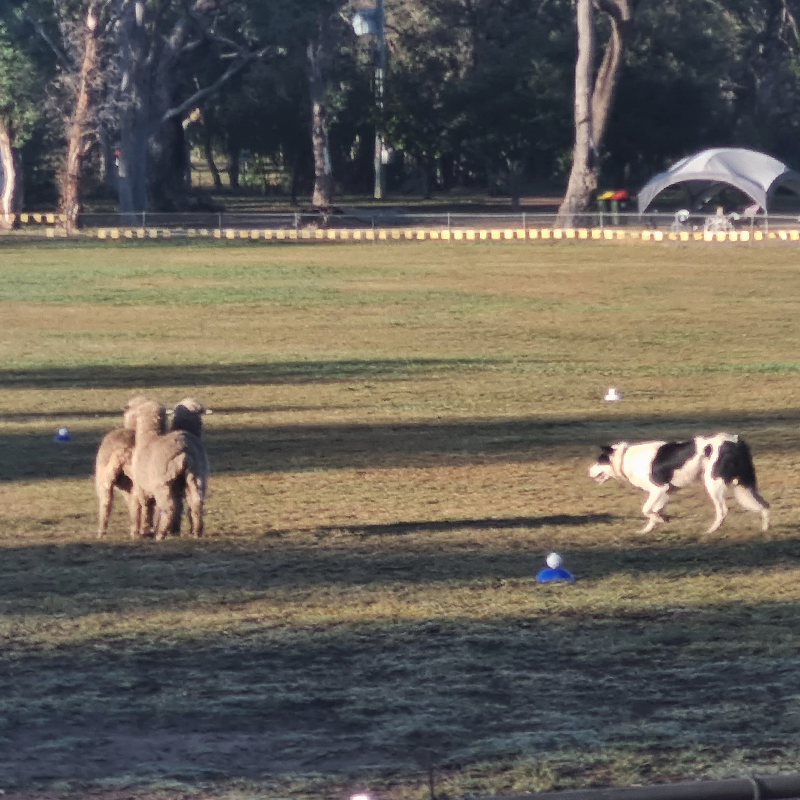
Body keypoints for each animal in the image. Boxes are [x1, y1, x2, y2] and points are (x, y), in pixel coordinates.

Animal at [130, 398, 209, 540]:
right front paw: (174, 530)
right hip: (197, 477)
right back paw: (196, 531)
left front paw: (146, 529)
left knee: (168, 508)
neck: (149, 438)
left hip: (163, 483)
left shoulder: (141, 486)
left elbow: (147, 507)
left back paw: (160, 534)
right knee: (195, 502)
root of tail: (185, 449)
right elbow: (178, 506)